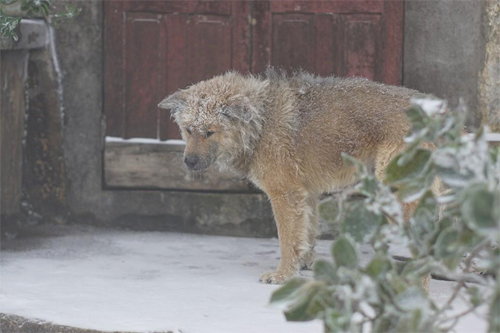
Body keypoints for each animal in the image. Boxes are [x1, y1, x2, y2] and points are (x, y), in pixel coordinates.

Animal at [158, 68, 420, 284]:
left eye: (210, 132)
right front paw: (303, 264)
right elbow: (306, 235)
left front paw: (282, 275)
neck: (260, 124)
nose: (189, 162)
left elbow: (287, 241)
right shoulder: (307, 193)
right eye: (189, 130)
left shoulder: (285, 194)